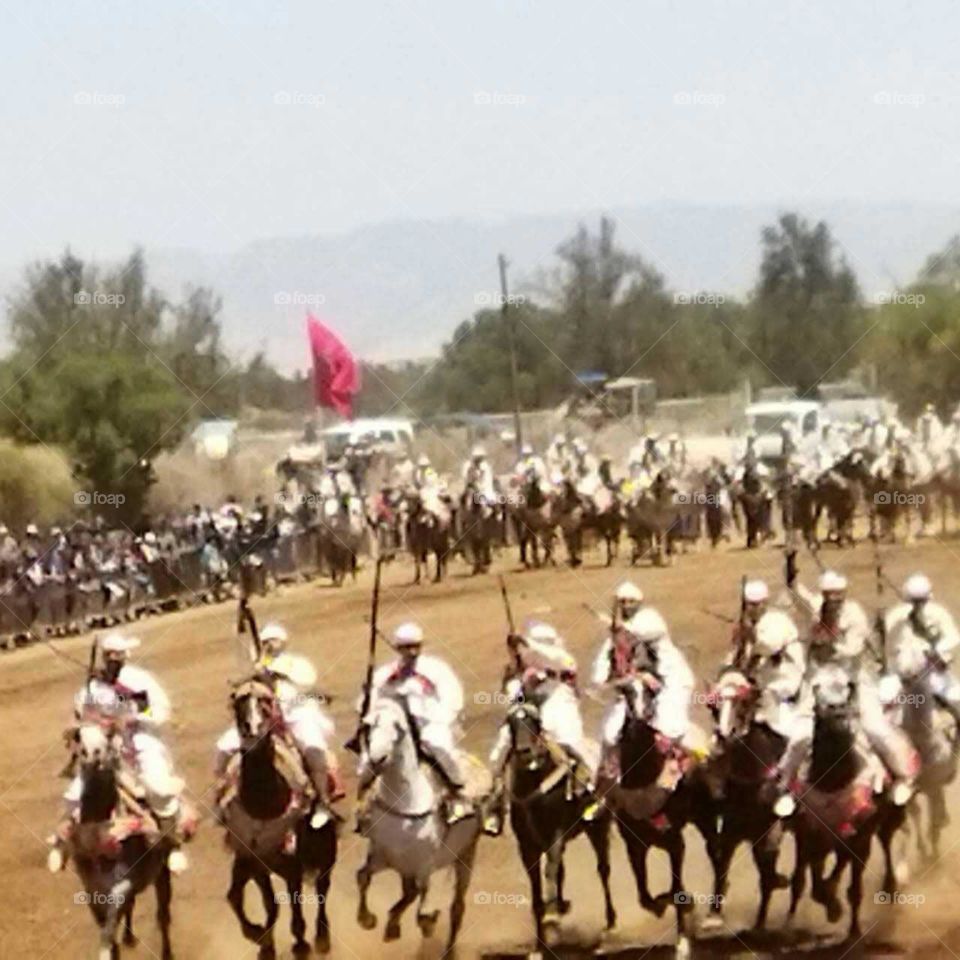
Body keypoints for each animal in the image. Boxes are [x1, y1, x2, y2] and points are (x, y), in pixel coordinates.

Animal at [64, 720, 177, 960]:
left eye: (107, 737)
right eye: (79, 739)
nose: (93, 755)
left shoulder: (122, 886)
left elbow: (109, 929)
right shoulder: (91, 890)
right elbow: (107, 928)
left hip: (162, 876)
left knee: (162, 916)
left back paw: (166, 952)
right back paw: (129, 937)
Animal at [220, 680, 338, 956]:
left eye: (266, 701)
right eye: (237, 700)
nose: (251, 729)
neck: (264, 804)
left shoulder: (292, 866)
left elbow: (295, 908)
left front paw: (301, 944)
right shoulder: (252, 862)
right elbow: (259, 902)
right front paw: (262, 940)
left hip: (326, 852)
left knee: (322, 888)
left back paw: (322, 937)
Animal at [356, 688, 484, 952]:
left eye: (398, 728)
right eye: (369, 725)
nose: (376, 759)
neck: (405, 803)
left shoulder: (424, 865)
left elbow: (423, 912)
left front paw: (428, 924)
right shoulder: (382, 855)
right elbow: (362, 876)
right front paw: (368, 919)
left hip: (466, 855)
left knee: (456, 907)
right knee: (410, 893)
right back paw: (392, 926)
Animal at [502, 692, 616, 948]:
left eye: (536, 722)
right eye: (511, 722)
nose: (525, 751)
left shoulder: (555, 836)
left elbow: (551, 871)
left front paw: (552, 917)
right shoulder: (527, 846)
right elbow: (538, 891)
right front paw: (540, 940)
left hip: (598, 827)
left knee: (603, 869)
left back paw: (610, 920)